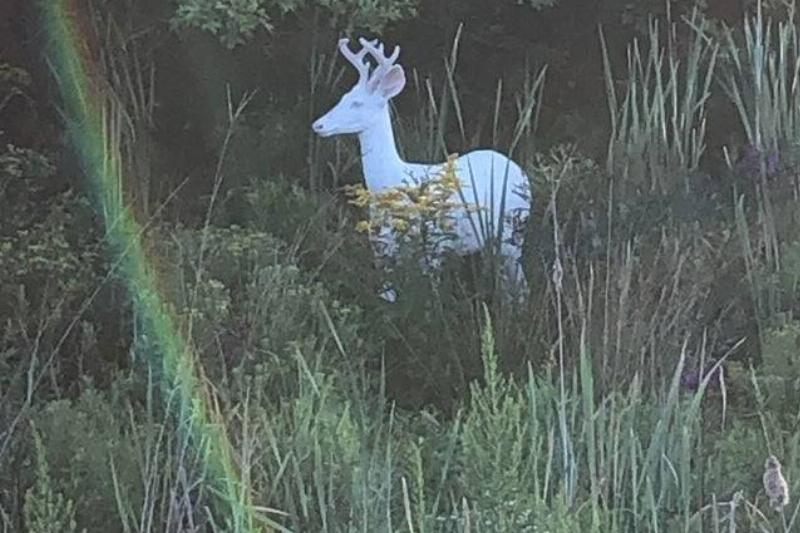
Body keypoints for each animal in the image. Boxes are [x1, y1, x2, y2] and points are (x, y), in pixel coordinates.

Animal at [312, 37, 531, 301]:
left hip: (512, 231)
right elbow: (388, 293)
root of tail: (521, 172)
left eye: (357, 103)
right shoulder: (380, 243)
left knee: (520, 284)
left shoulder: (433, 244)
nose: (318, 125)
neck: (390, 181)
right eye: (344, 97)